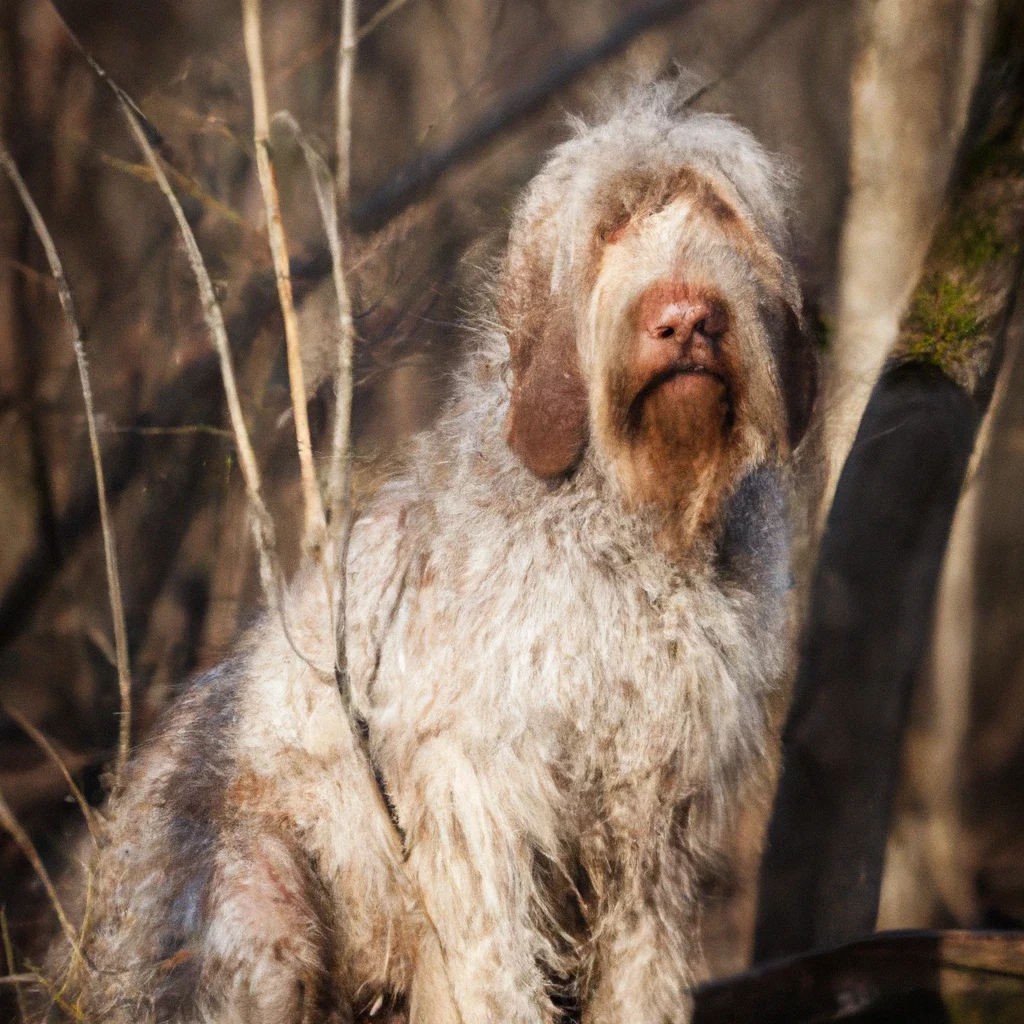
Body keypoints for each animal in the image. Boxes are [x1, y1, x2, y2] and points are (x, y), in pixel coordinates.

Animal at [41, 86, 815, 1024]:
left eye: (724, 217)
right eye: (611, 228)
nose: (688, 319)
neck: (634, 532)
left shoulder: (649, 817)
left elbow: (642, 972)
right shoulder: (482, 796)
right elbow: (495, 969)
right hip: (261, 907)